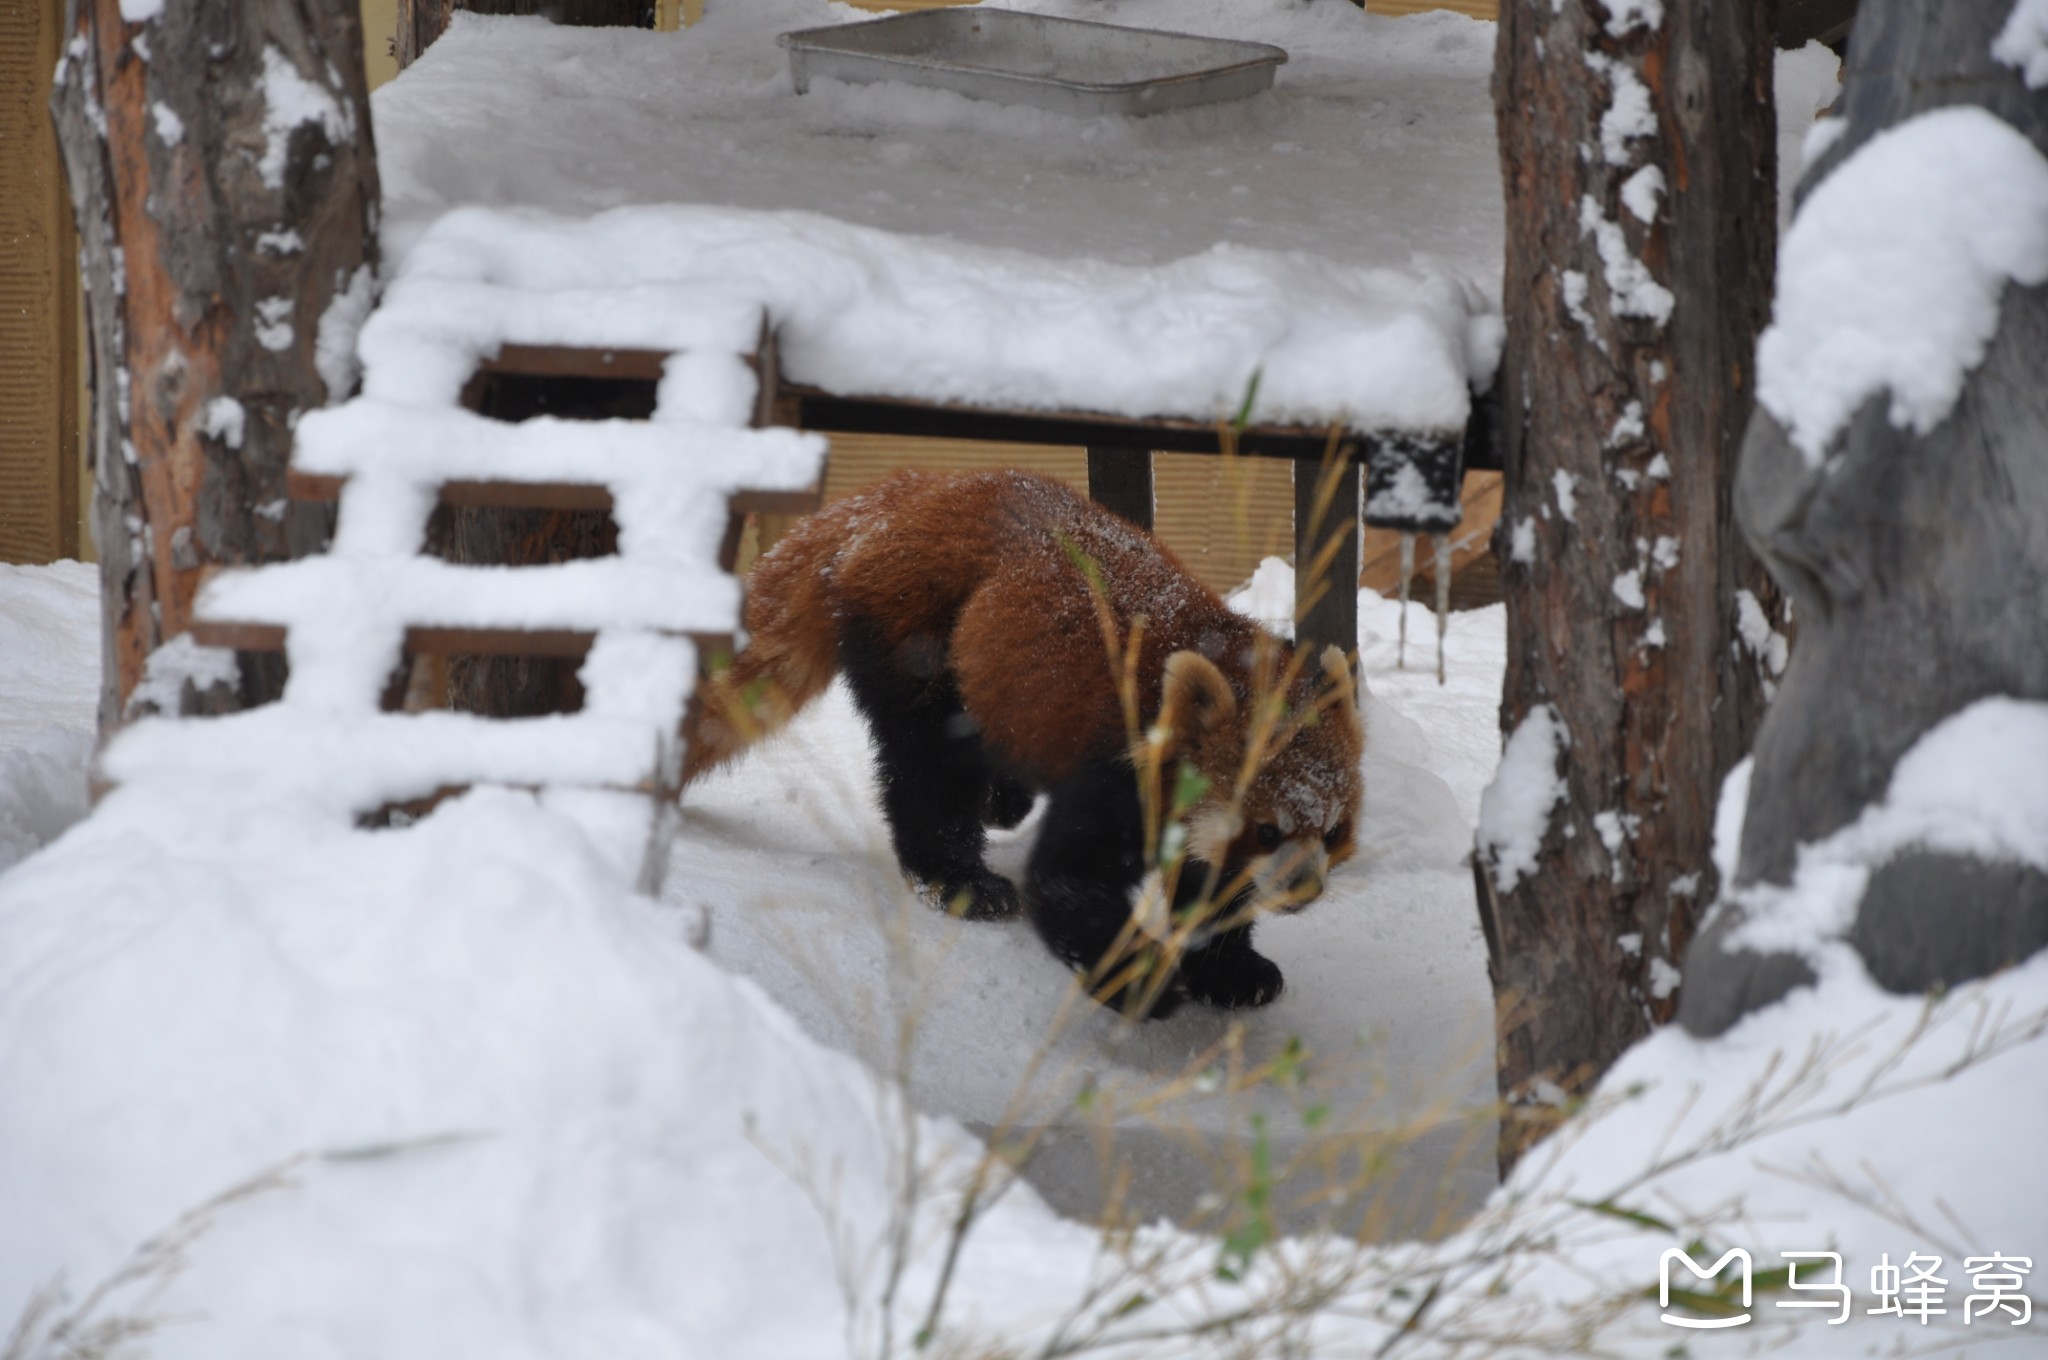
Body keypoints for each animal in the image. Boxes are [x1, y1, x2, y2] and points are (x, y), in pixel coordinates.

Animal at [679, 473, 1368, 1015]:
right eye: (1267, 831)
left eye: (1333, 831)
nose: (1304, 888)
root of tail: (910, 493)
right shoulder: (1116, 767)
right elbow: (1062, 885)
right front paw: (1140, 978)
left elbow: (1208, 888)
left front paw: (1231, 968)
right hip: (917, 633)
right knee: (928, 772)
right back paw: (958, 880)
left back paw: (1002, 801)